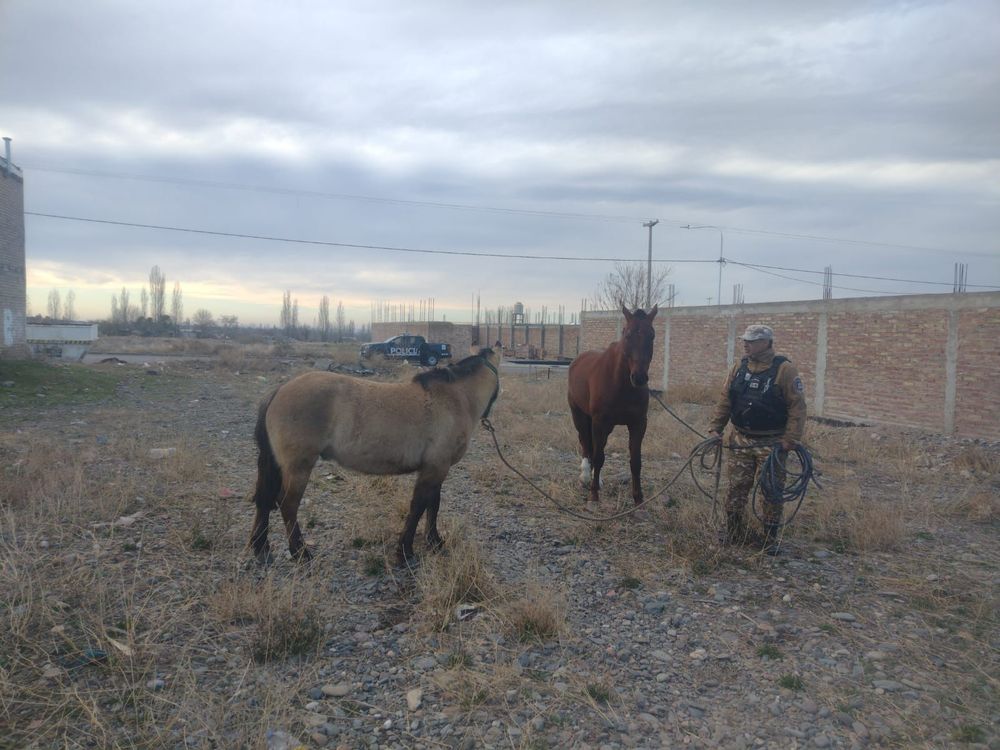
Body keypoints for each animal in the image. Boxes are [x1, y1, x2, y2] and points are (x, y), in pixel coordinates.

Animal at [248, 348, 500, 567]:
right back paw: (300, 553)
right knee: (288, 504)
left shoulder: (437, 468)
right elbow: (418, 507)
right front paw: (405, 551)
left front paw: (434, 542)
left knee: (265, 500)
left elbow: (433, 505)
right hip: (298, 467)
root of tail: (279, 390)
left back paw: (261, 548)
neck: (454, 398)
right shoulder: (435, 468)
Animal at [567, 304, 658, 506]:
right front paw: (593, 495)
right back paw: (586, 478)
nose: (639, 378)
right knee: (586, 443)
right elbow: (598, 457)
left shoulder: (639, 424)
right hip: (579, 415)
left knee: (595, 446)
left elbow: (635, 461)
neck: (621, 384)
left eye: (652, 335)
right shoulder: (599, 422)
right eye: (627, 335)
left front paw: (638, 498)